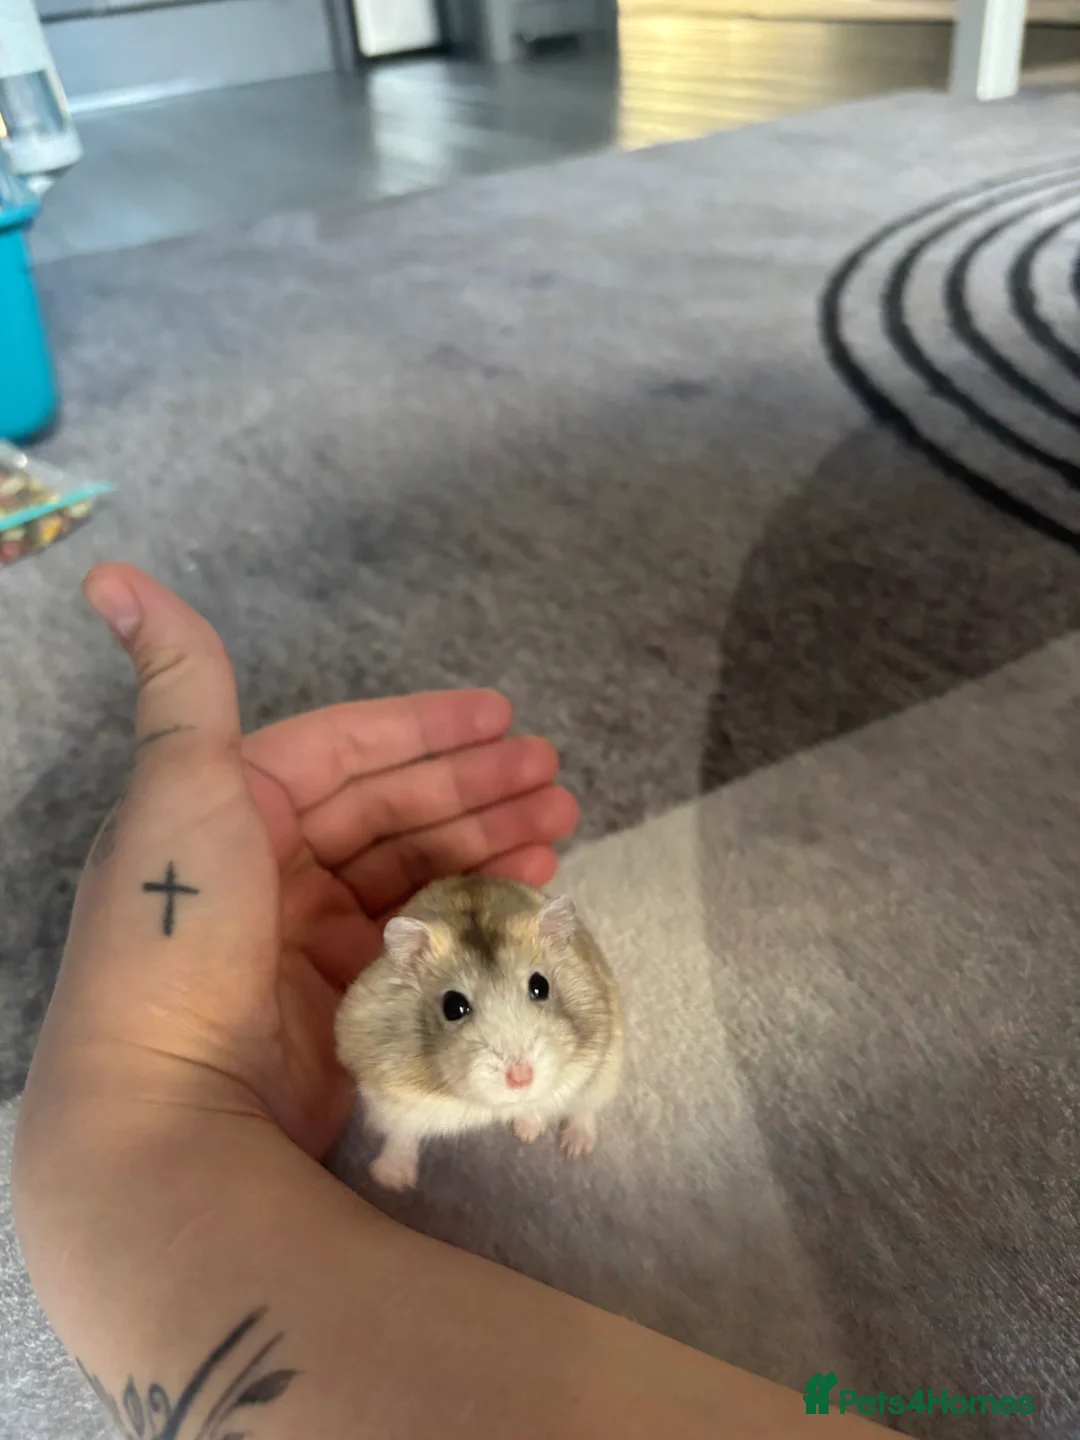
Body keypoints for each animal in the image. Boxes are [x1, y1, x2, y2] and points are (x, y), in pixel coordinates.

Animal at [334, 874, 624, 1192]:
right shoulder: (387, 1095)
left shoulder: (581, 1069)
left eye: (541, 986)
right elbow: (401, 1134)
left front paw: (527, 1131)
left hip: (609, 1065)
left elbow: (544, 1103)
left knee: (586, 1108)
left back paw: (574, 1149)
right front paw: (389, 1182)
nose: (521, 1078)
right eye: (453, 1007)